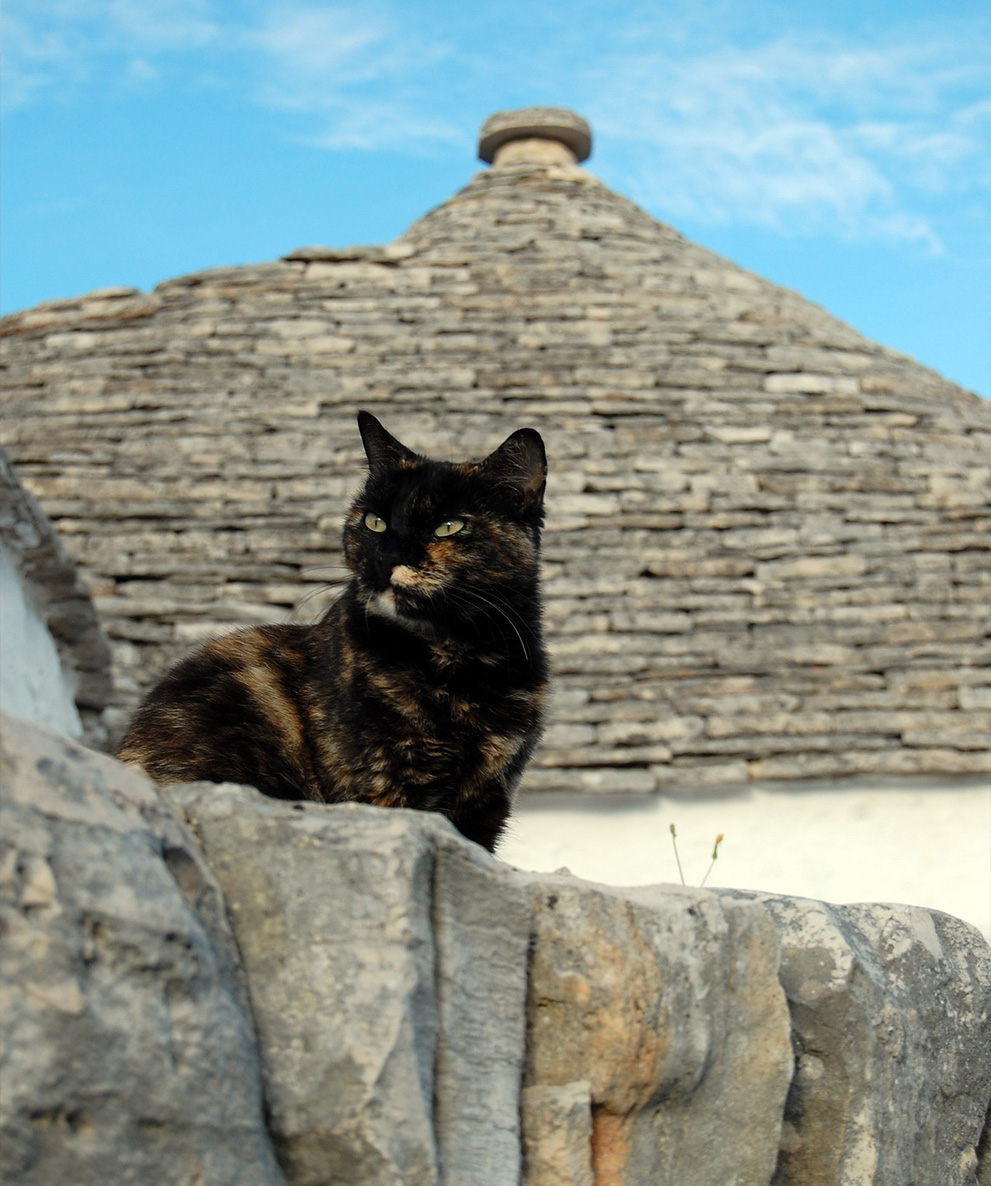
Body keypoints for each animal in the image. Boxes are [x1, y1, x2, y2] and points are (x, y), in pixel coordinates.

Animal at [119, 412, 550, 849]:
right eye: (374, 522)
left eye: (448, 526)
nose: (386, 558)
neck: (462, 659)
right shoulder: (383, 787)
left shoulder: (489, 801)